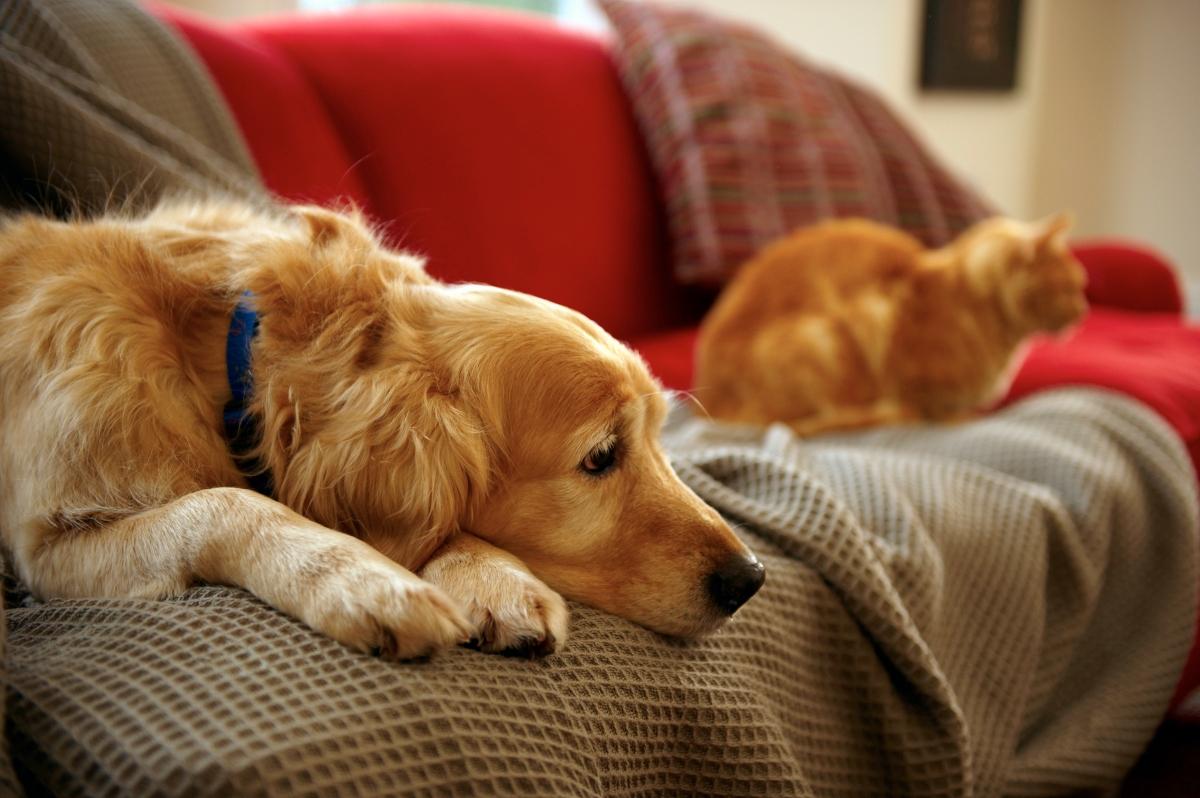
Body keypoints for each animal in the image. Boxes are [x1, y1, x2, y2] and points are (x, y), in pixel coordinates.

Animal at [0, 200, 763, 657]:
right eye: (601, 457)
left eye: (662, 435)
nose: (750, 579)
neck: (232, 357)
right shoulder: (50, 547)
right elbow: (226, 503)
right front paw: (365, 582)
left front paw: (492, 579)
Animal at [696, 213, 1089, 436]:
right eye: (1070, 288)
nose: (1083, 311)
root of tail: (711, 401)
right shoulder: (888, 330)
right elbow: (932, 406)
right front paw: (956, 418)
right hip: (823, 339)